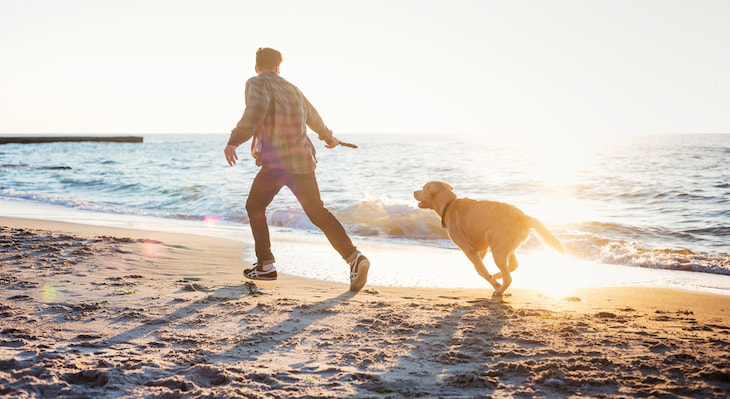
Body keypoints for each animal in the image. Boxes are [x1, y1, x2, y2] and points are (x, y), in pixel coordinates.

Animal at [416, 182, 564, 296]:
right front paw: (494, 279)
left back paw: (499, 290)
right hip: (504, 247)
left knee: (509, 277)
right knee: (513, 266)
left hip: (498, 248)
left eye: (423, 188)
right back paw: (499, 277)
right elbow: (479, 268)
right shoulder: (481, 248)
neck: (449, 204)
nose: (414, 192)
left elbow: (482, 270)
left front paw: (494, 283)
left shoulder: (469, 250)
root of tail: (524, 216)